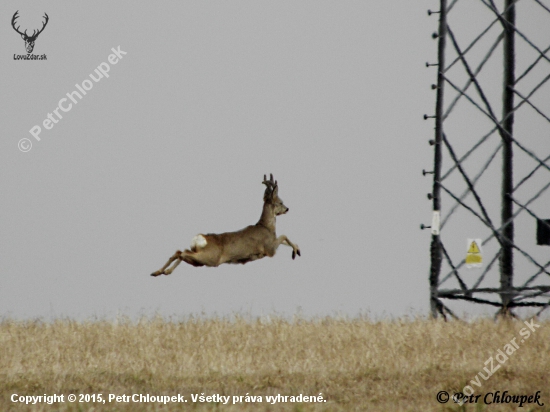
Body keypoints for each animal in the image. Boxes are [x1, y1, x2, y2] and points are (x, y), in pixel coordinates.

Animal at [151, 174, 302, 276]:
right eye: (280, 202)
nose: (287, 209)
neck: (266, 227)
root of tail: (200, 238)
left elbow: (284, 239)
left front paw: (297, 250)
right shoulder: (269, 249)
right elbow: (284, 236)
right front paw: (296, 252)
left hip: (199, 261)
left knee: (180, 252)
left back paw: (159, 272)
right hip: (211, 258)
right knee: (182, 252)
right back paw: (162, 271)